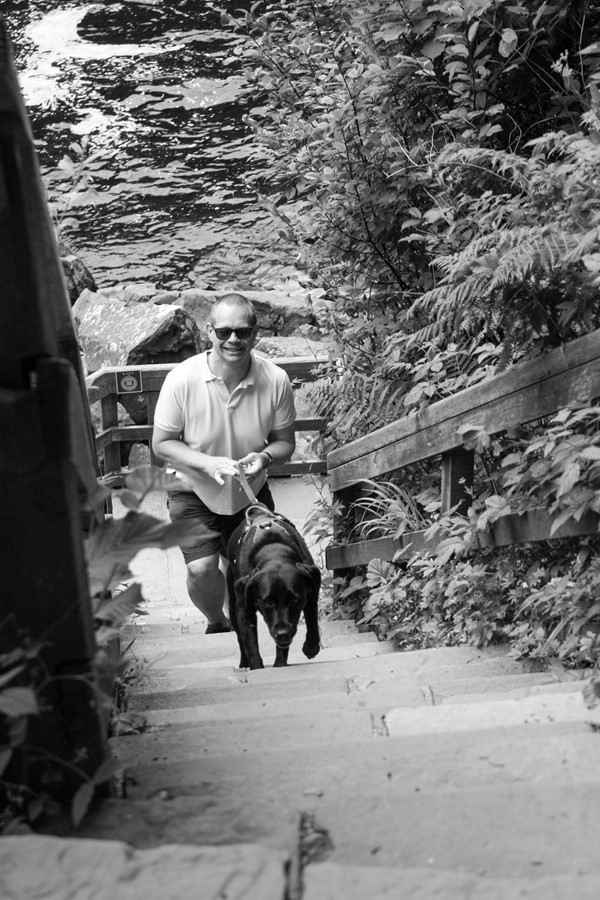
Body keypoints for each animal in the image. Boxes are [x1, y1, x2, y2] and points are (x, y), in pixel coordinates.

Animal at [225, 506, 322, 668]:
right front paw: (257, 667)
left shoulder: (310, 594)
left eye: (294, 600)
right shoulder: (244, 610)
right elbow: (250, 643)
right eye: (268, 602)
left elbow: (312, 620)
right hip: (233, 608)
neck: (273, 551)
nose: (282, 634)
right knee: (239, 637)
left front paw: (310, 648)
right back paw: (243, 663)